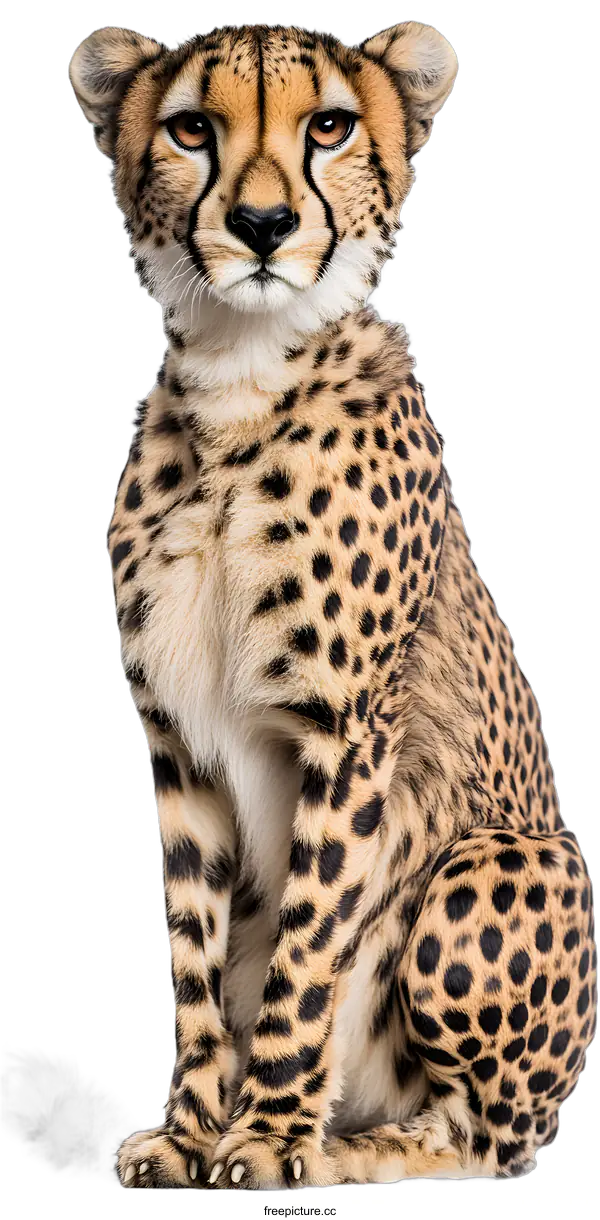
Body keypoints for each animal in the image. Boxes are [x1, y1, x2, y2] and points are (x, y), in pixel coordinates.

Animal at [68, 20, 597, 1191]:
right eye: (190, 128)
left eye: (329, 127)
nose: (263, 226)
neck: (240, 384)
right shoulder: (177, 744)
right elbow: (196, 954)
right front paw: (192, 1130)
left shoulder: (347, 729)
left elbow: (309, 944)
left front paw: (268, 1139)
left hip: (504, 859)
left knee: (486, 1141)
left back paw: (360, 1145)